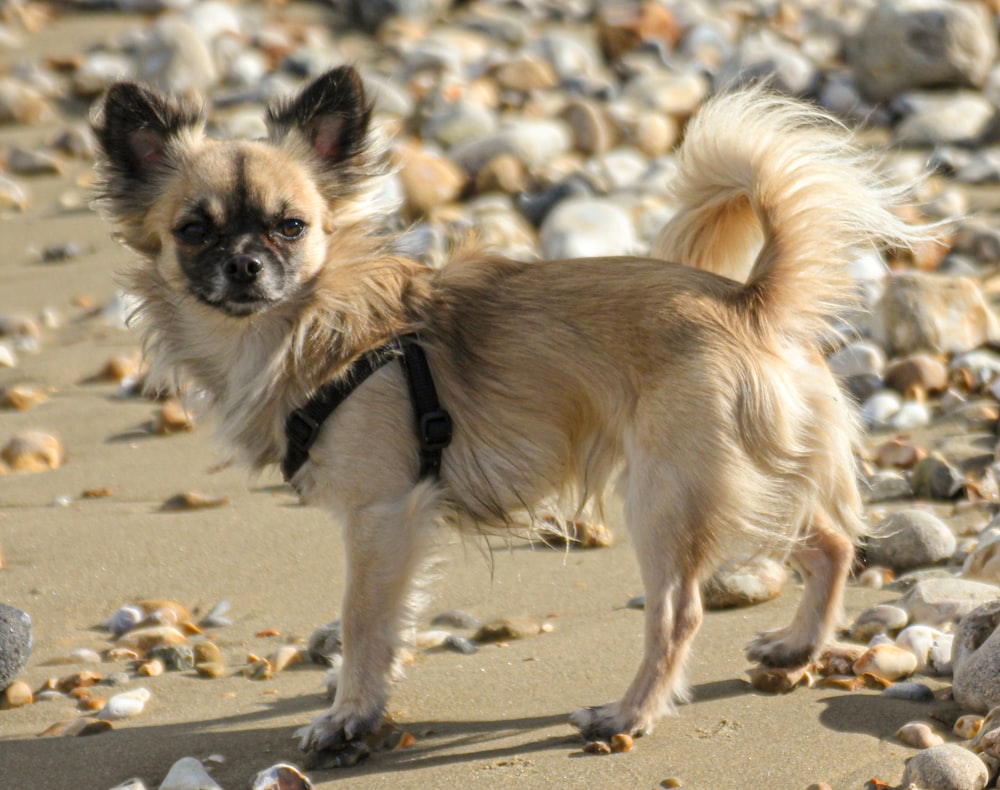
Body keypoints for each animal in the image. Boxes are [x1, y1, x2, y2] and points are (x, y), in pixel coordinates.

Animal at [95, 68, 928, 768]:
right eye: (193, 230)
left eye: (290, 226)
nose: (244, 264)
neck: (314, 326)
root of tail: (751, 301)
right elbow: (388, 626)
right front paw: (366, 704)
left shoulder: (382, 514)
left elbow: (364, 622)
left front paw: (349, 717)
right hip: (750, 477)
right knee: (830, 543)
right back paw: (797, 647)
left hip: (665, 496)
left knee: (681, 613)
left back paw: (629, 714)